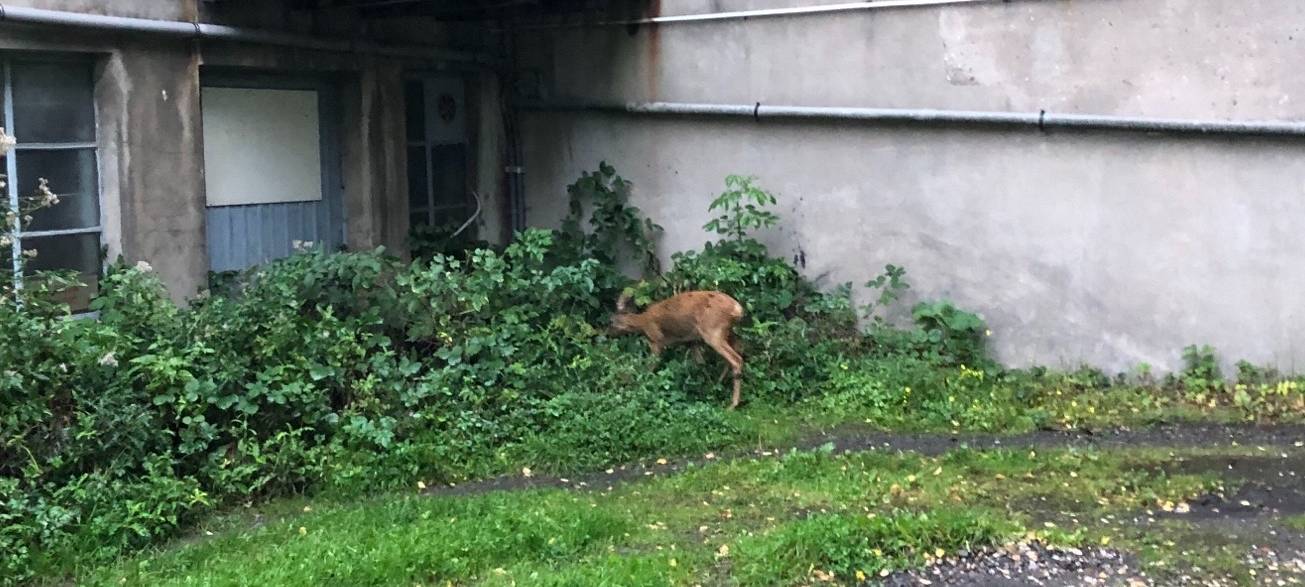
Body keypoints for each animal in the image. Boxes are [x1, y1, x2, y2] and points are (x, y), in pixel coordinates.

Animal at [607, 290, 746, 409]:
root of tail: (737, 309)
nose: (607, 333)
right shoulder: (691, 342)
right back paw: (717, 385)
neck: (643, 321)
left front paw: (641, 385)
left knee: (736, 359)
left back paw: (733, 404)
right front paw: (704, 386)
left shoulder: (656, 341)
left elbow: (650, 367)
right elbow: (700, 363)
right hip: (727, 332)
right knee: (737, 349)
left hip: (713, 330)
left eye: (611, 322)